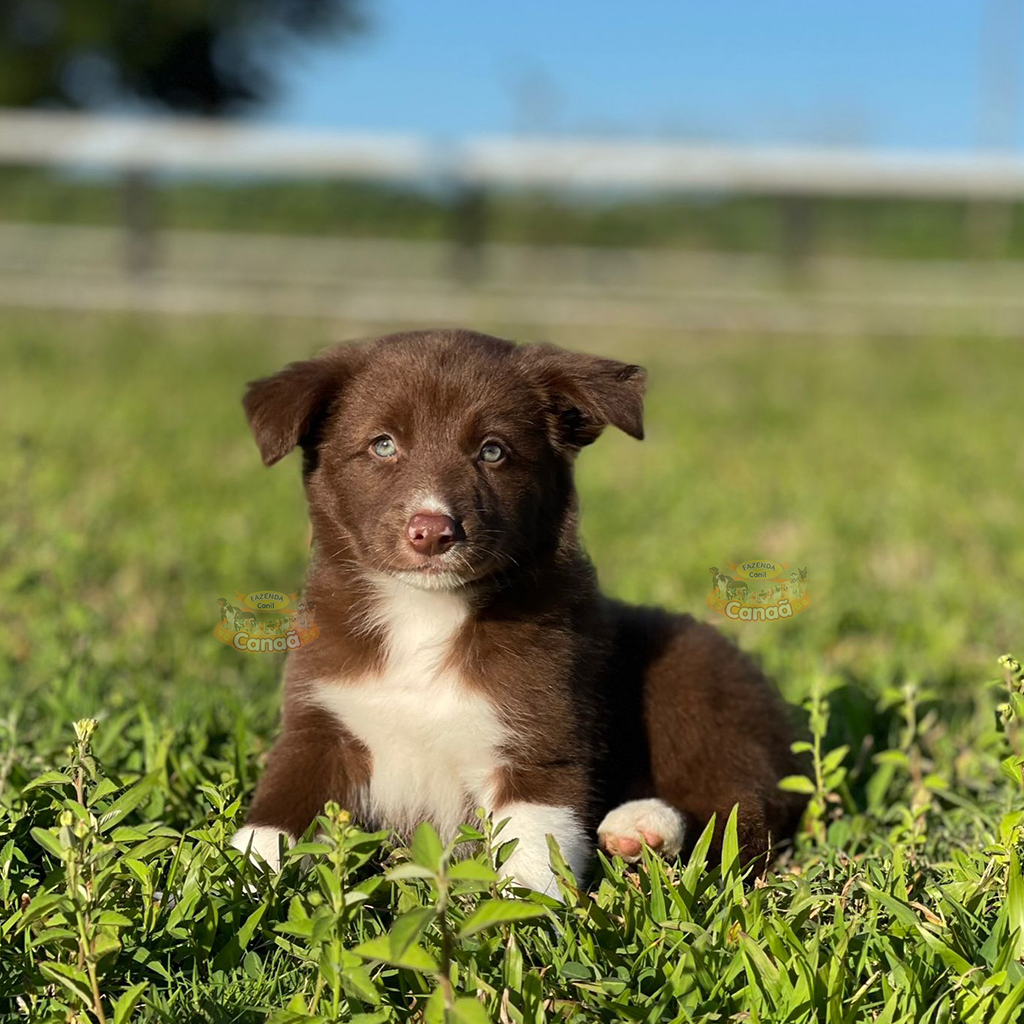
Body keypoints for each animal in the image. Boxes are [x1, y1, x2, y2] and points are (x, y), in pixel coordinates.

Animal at [232, 329, 806, 897]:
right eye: (383, 445)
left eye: (492, 451)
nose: (432, 532)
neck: (424, 612)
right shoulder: (320, 725)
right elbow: (277, 816)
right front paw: (236, 883)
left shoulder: (538, 735)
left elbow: (531, 853)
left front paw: (525, 917)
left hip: (690, 684)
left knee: (738, 813)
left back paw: (645, 830)